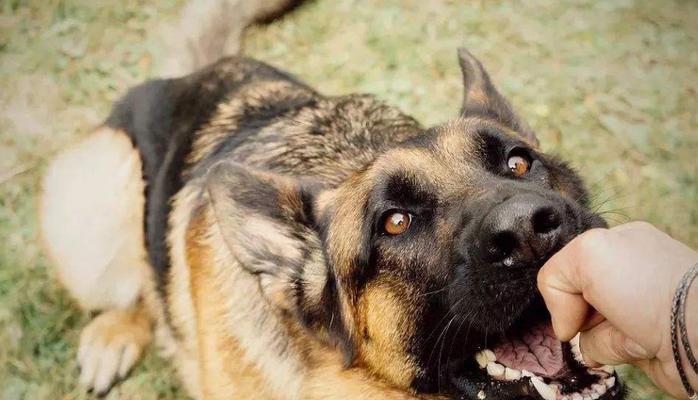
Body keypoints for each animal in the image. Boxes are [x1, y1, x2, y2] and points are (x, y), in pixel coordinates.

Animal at [40, 0, 624, 400]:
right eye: (394, 222)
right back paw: (115, 333)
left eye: (518, 163)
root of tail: (195, 74)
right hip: (97, 193)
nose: (528, 230)